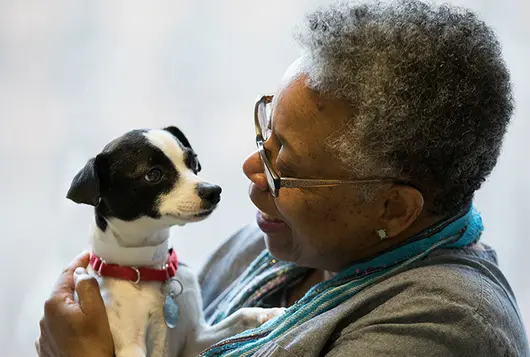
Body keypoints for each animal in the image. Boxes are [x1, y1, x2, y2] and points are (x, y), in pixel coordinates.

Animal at [67, 127, 284, 356]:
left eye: (193, 162)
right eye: (153, 174)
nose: (213, 190)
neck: (149, 269)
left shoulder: (194, 339)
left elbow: (239, 317)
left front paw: (266, 314)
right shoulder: (130, 347)